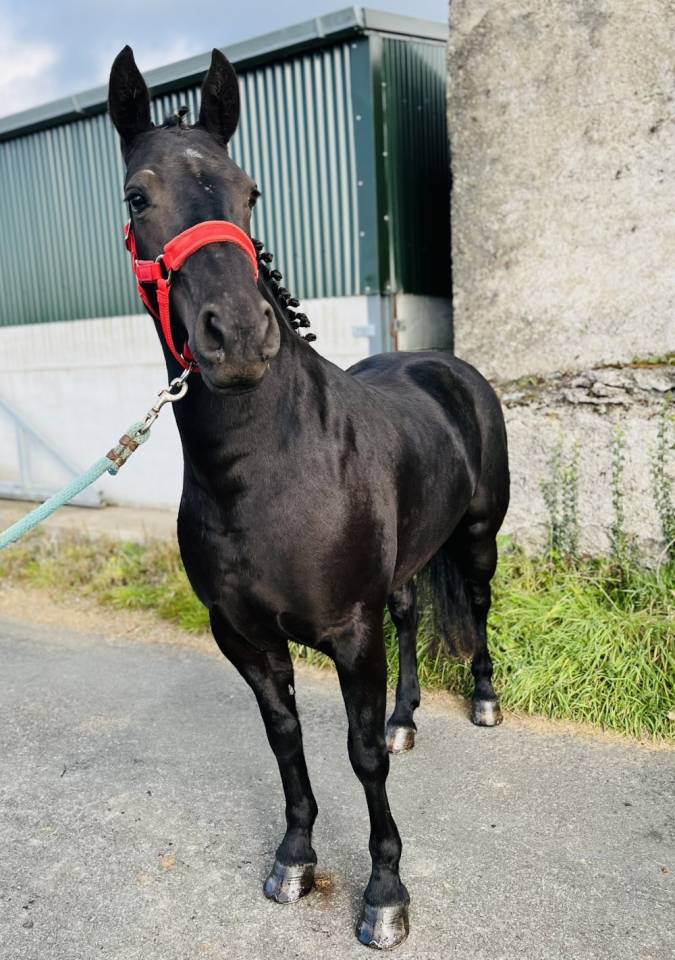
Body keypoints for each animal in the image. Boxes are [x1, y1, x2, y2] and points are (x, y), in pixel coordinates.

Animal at [107, 46, 509, 950]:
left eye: (248, 190)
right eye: (137, 196)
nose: (237, 338)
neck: (266, 469)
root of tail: (446, 366)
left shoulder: (348, 633)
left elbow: (358, 755)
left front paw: (385, 893)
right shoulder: (245, 640)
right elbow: (284, 740)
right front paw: (294, 856)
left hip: (476, 538)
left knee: (474, 607)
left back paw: (482, 701)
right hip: (405, 565)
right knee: (410, 616)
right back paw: (407, 717)